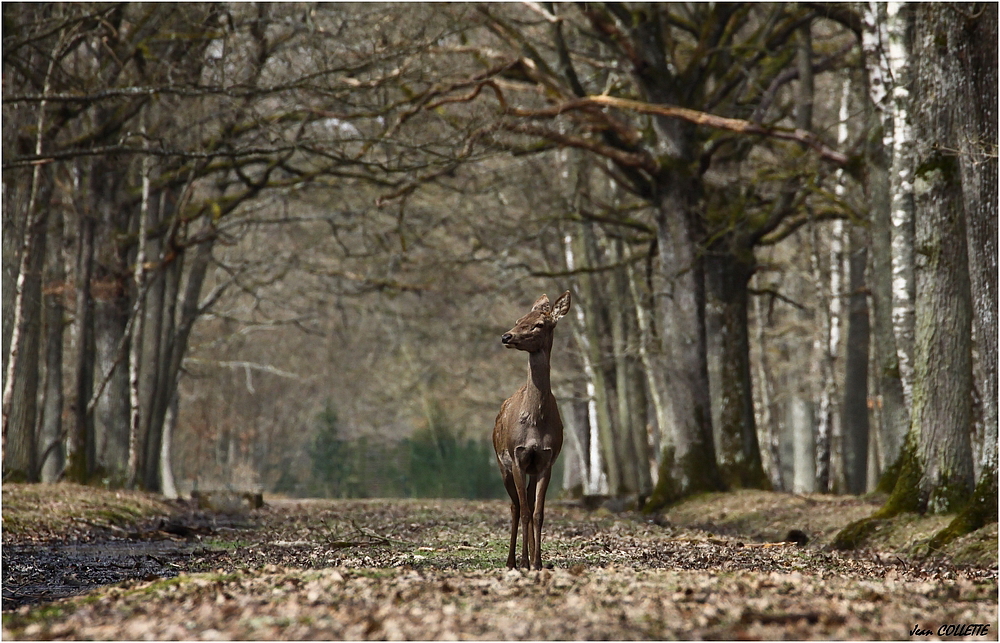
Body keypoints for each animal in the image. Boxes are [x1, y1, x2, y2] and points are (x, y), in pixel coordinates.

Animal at [492, 290, 572, 572]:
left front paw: (537, 562)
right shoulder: (517, 456)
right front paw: (524, 561)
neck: (536, 423)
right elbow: (525, 511)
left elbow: (538, 512)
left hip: (530, 468)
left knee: (525, 501)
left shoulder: (546, 459)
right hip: (502, 463)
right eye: (519, 319)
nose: (506, 336)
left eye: (538, 324)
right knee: (515, 507)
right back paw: (511, 561)